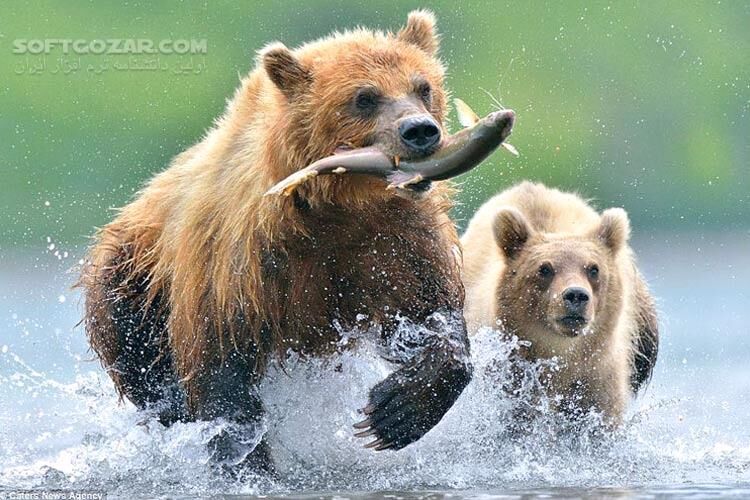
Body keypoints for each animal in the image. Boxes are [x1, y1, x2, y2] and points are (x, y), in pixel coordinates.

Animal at [78, 11, 473, 473]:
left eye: (423, 86)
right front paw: (246, 457)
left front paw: (395, 410)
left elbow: (429, 311)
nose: (420, 131)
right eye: (364, 97)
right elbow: (222, 361)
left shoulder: (397, 240)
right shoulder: (239, 257)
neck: (334, 208)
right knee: (144, 363)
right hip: (131, 283)